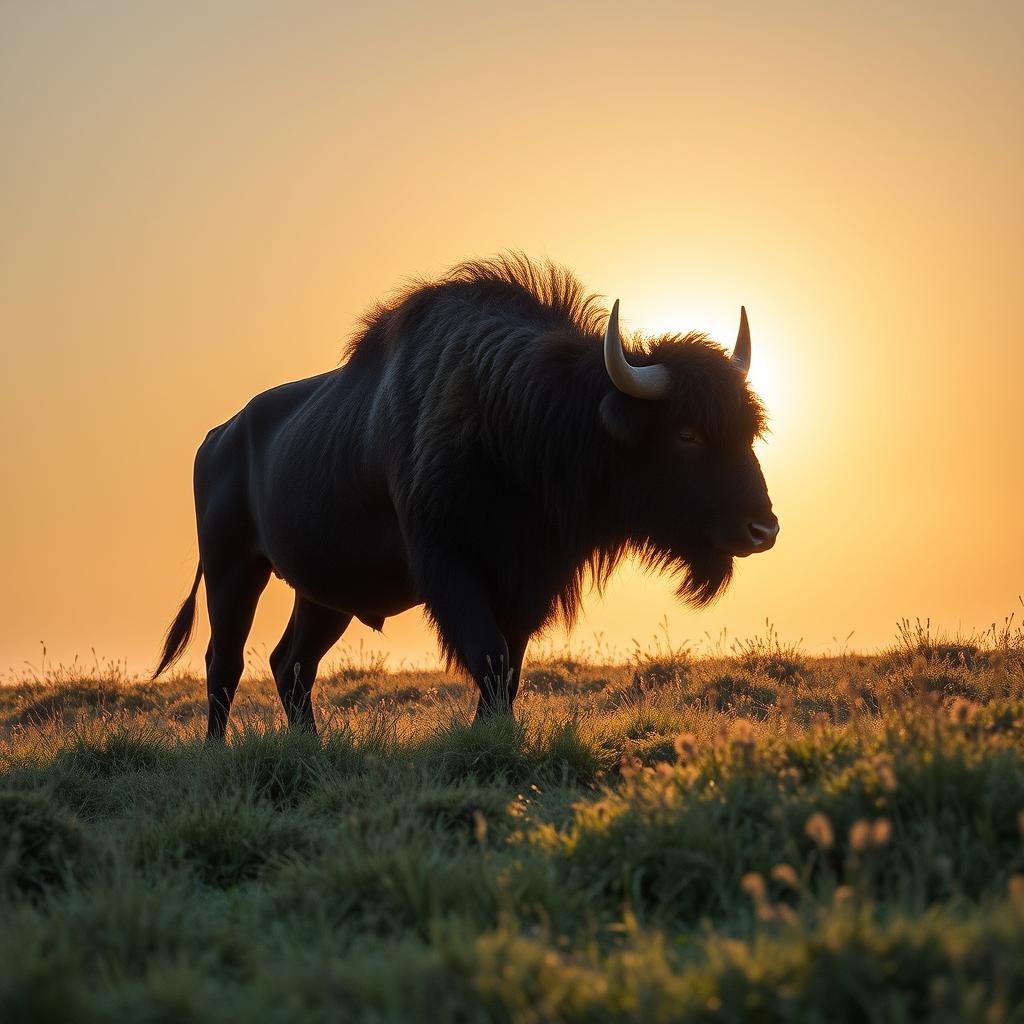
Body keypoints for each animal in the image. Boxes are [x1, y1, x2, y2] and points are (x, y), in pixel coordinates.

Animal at [154, 255, 778, 738]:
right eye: (686, 433)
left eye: (750, 429)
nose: (763, 529)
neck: (511, 416)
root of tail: (219, 438)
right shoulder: (450, 568)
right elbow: (491, 658)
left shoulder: (528, 580)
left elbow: (509, 668)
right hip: (234, 571)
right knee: (225, 663)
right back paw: (216, 752)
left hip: (325, 596)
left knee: (292, 664)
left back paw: (309, 746)